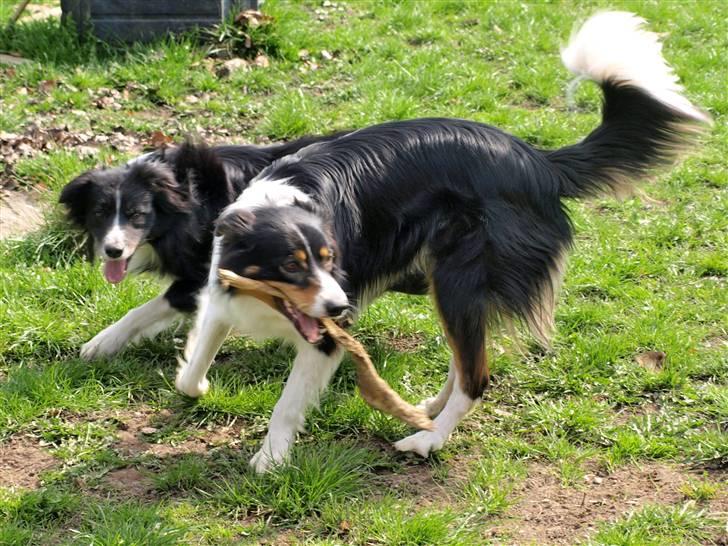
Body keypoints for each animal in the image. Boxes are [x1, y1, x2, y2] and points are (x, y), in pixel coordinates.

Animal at [176, 11, 712, 472]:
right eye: (292, 265)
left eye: (330, 261)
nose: (341, 305)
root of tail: (540, 164)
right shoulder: (223, 295)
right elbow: (190, 371)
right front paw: (199, 384)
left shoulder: (326, 338)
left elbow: (287, 405)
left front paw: (269, 460)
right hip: (450, 284)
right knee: (465, 360)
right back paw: (430, 408)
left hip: (460, 278)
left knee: (477, 376)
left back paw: (427, 439)